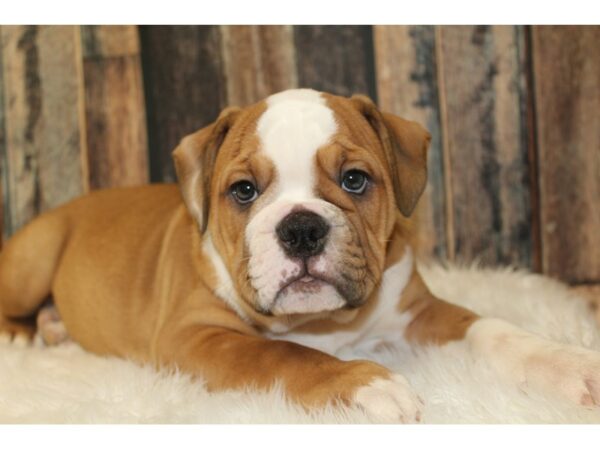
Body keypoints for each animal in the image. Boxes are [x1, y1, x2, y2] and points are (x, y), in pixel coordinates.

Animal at [1, 89, 600, 422]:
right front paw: (364, 384)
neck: (323, 322)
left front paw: (569, 363)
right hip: (35, 257)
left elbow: (492, 330)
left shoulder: (419, 313)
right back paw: (24, 333)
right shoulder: (196, 335)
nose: (302, 228)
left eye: (354, 180)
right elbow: (284, 355)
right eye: (243, 191)